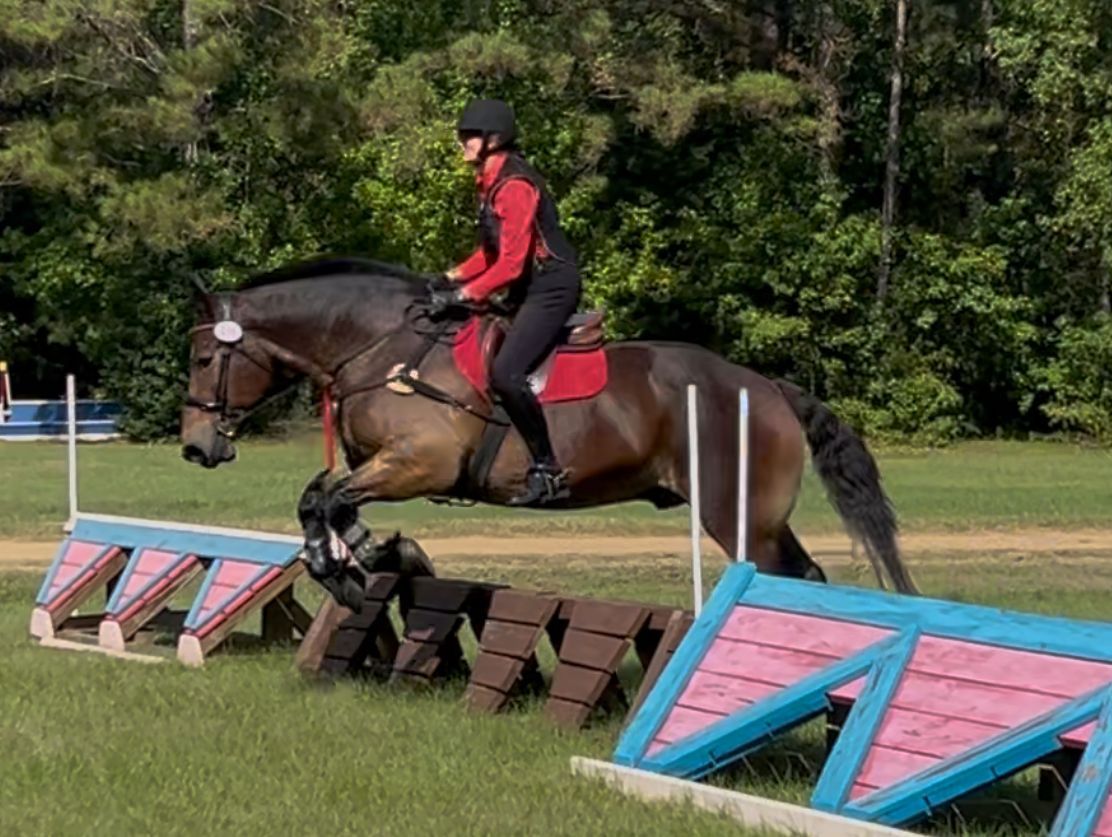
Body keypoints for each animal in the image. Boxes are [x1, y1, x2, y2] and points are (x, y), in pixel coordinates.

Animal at [180, 256, 918, 607]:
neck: (380, 346)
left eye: (204, 358)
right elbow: (319, 500)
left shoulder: (421, 462)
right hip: (758, 519)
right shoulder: (376, 464)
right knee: (806, 574)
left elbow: (328, 501)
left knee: (783, 575)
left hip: (739, 518)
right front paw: (382, 555)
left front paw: (356, 570)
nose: (194, 446)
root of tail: (767, 387)